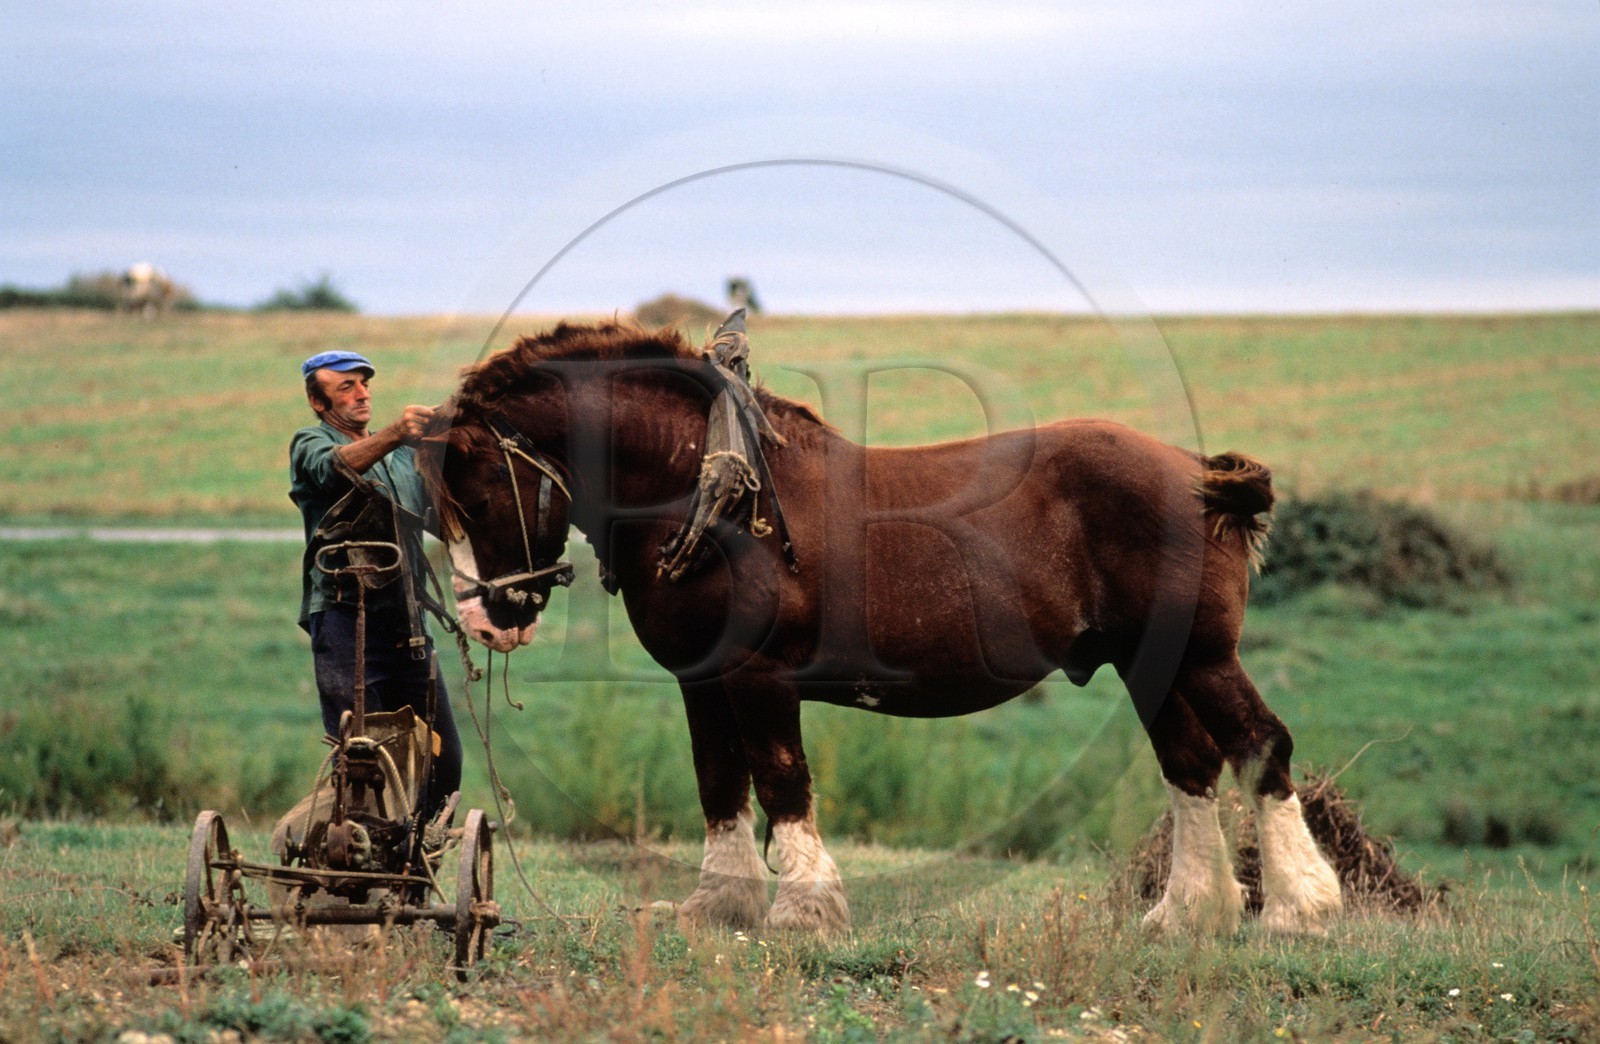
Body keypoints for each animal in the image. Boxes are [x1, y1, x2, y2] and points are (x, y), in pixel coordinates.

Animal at [421, 319, 1343, 936]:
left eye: (481, 492)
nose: (484, 618)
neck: (713, 493)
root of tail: (1198, 476)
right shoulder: (702, 680)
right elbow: (720, 783)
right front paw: (720, 903)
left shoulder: (758, 677)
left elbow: (780, 781)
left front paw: (805, 909)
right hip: (1153, 664)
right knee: (1191, 765)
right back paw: (1186, 913)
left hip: (1202, 655)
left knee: (1262, 745)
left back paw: (1299, 906)